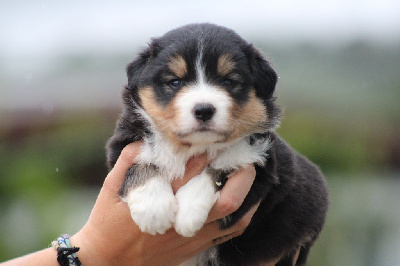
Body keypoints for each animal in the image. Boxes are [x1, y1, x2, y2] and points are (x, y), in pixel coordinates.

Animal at [106, 23, 328, 264]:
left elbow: (223, 166)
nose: (204, 110)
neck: (192, 147)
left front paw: (188, 211)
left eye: (228, 82)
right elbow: (140, 164)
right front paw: (153, 209)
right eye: (175, 82)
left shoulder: (263, 169)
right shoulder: (124, 145)